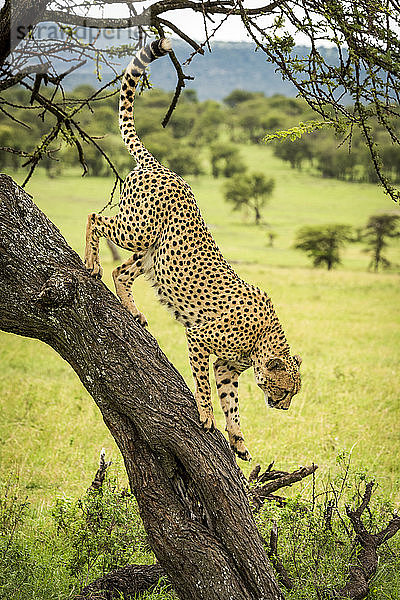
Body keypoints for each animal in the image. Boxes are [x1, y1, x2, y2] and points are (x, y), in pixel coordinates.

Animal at [85, 37, 304, 462]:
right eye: (286, 389)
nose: (284, 407)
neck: (262, 339)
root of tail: (161, 166)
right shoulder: (200, 339)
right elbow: (204, 386)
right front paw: (205, 415)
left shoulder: (228, 368)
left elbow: (232, 401)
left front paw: (237, 438)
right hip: (136, 230)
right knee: (95, 218)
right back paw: (91, 264)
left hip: (154, 252)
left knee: (124, 271)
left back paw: (132, 310)